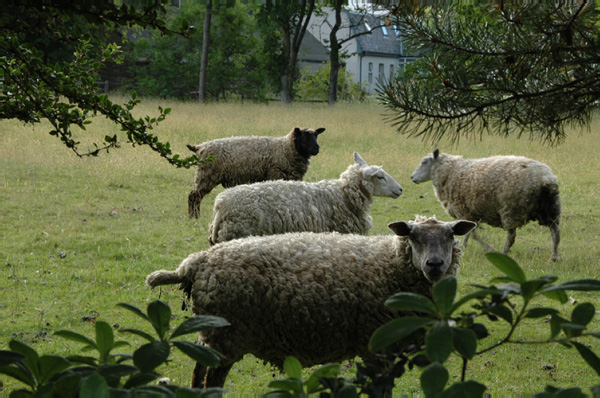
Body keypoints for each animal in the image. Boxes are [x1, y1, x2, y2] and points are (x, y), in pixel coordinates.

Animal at [146, 216, 478, 388]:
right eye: (413, 237)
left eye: (450, 236)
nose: (435, 264)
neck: (391, 264)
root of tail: (196, 262)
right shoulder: (378, 345)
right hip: (226, 336)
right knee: (210, 379)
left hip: (211, 334)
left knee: (197, 372)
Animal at [189, 126, 326, 218]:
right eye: (304, 137)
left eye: (316, 136)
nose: (317, 148)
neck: (285, 148)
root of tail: (199, 147)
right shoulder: (276, 174)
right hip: (206, 175)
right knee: (194, 196)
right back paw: (194, 217)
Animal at [410, 149, 560, 262]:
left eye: (424, 162)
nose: (412, 177)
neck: (450, 171)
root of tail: (545, 179)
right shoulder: (471, 213)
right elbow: (470, 233)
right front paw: (466, 246)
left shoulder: (465, 211)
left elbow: (472, 234)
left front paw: (485, 248)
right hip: (550, 209)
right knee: (555, 233)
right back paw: (553, 257)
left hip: (511, 209)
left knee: (511, 236)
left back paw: (503, 253)